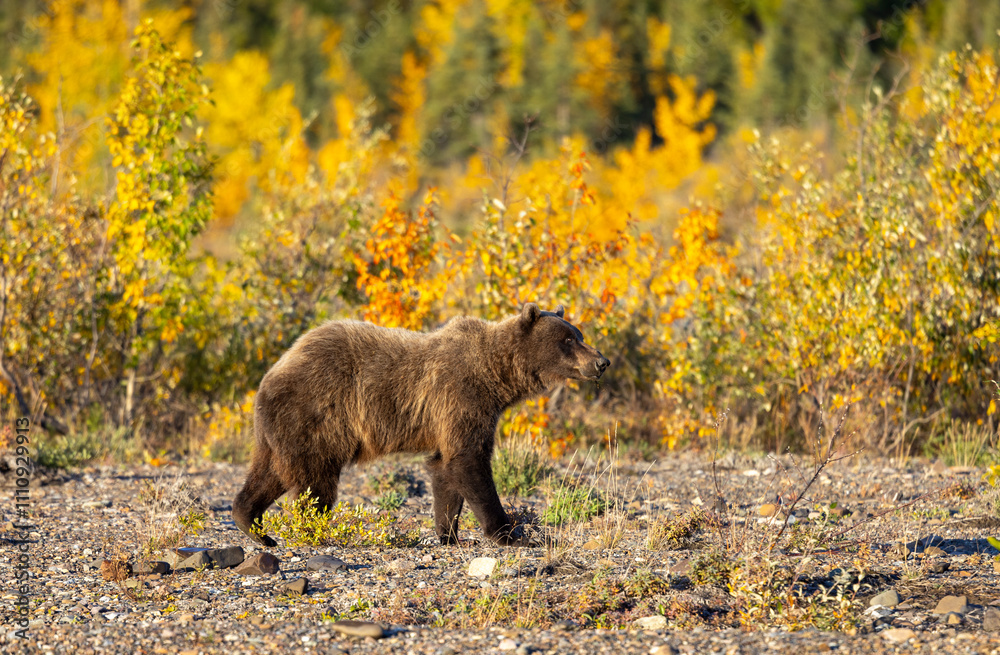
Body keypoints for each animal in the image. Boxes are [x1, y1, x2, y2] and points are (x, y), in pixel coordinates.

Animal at [232, 303, 610, 547]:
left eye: (578, 334)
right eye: (568, 340)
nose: (602, 361)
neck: (496, 376)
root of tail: (271, 373)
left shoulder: (457, 415)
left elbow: (445, 469)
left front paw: (448, 533)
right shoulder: (461, 395)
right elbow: (469, 462)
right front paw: (509, 533)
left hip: (278, 431)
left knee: (268, 474)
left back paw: (255, 528)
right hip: (316, 417)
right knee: (315, 482)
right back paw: (314, 530)